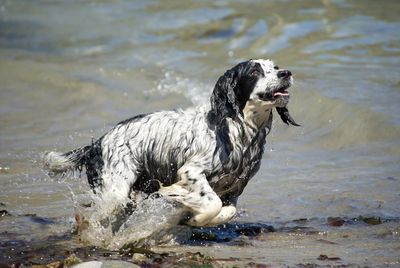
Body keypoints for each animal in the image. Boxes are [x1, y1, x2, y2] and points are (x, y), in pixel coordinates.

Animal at [44, 59, 300, 228]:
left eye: (275, 67)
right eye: (255, 71)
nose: (286, 73)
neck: (239, 132)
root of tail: (96, 144)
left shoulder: (235, 189)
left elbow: (227, 210)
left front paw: (193, 216)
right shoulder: (191, 170)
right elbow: (212, 202)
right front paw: (191, 211)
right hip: (114, 192)